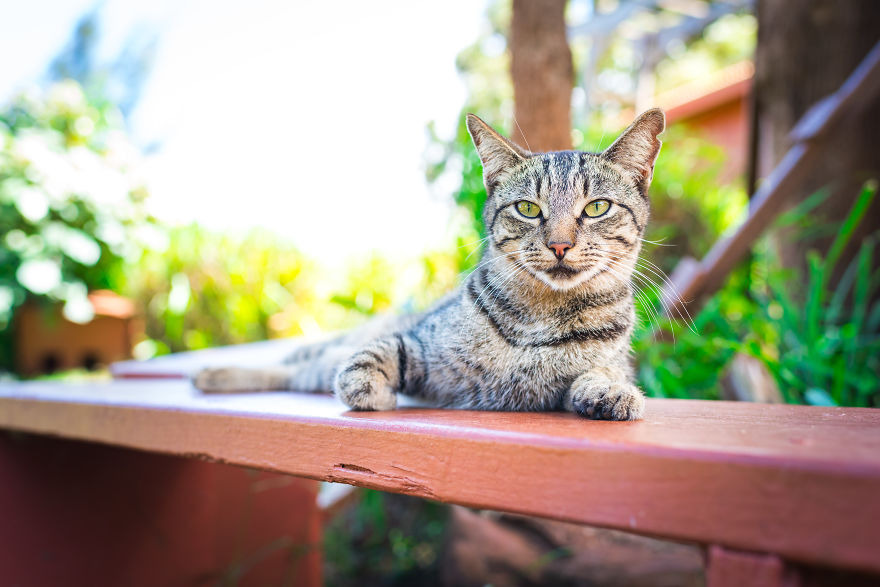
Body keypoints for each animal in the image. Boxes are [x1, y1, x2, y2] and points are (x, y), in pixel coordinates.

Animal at [192, 109, 664, 422]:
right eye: (528, 209)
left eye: (597, 207)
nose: (560, 245)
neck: (541, 317)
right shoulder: (413, 342)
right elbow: (363, 364)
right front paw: (375, 393)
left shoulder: (600, 367)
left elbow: (605, 373)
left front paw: (611, 391)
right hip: (334, 346)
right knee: (299, 362)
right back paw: (213, 374)